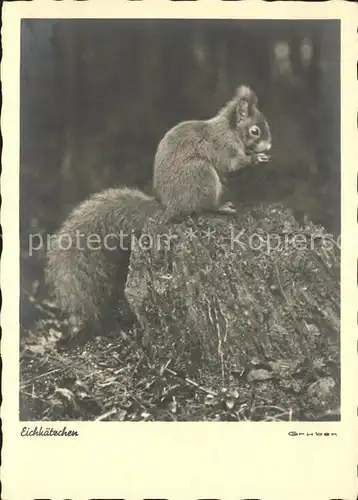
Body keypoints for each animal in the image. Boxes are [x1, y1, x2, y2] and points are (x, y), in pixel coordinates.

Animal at [46, 86, 272, 332]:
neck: (230, 129)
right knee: (201, 207)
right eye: (255, 131)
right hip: (201, 174)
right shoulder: (223, 146)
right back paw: (221, 206)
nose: (269, 146)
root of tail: (169, 207)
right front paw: (256, 158)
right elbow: (232, 163)